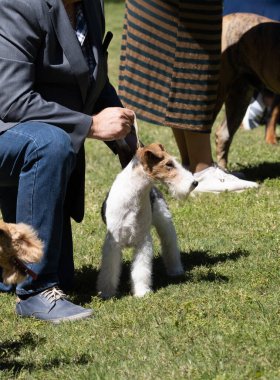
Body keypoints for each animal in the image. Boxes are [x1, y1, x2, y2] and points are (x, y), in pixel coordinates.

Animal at [97, 141, 198, 298]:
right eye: (169, 164)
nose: (195, 183)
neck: (134, 197)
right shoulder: (113, 243)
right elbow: (109, 270)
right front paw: (106, 293)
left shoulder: (143, 241)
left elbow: (141, 270)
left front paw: (142, 292)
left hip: (164, 221)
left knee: (170, 245)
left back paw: (175, 270)